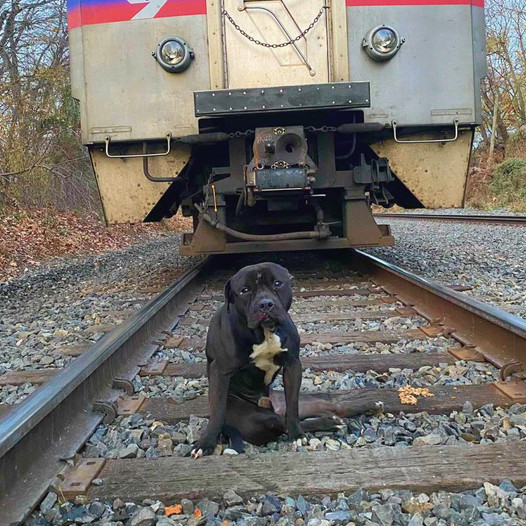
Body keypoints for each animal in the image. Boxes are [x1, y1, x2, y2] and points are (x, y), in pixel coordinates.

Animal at [192, 262, 352, 460]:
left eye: (277, 283)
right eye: (244, 290)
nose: (265, 304)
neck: (265, 332)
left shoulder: (292, 365)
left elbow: (293, 406)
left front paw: (297, 435)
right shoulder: (220, 370)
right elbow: (217, 410)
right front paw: (206, 443)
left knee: (287, 418)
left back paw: (328, 421)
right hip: (260, 420)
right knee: (278, 423)